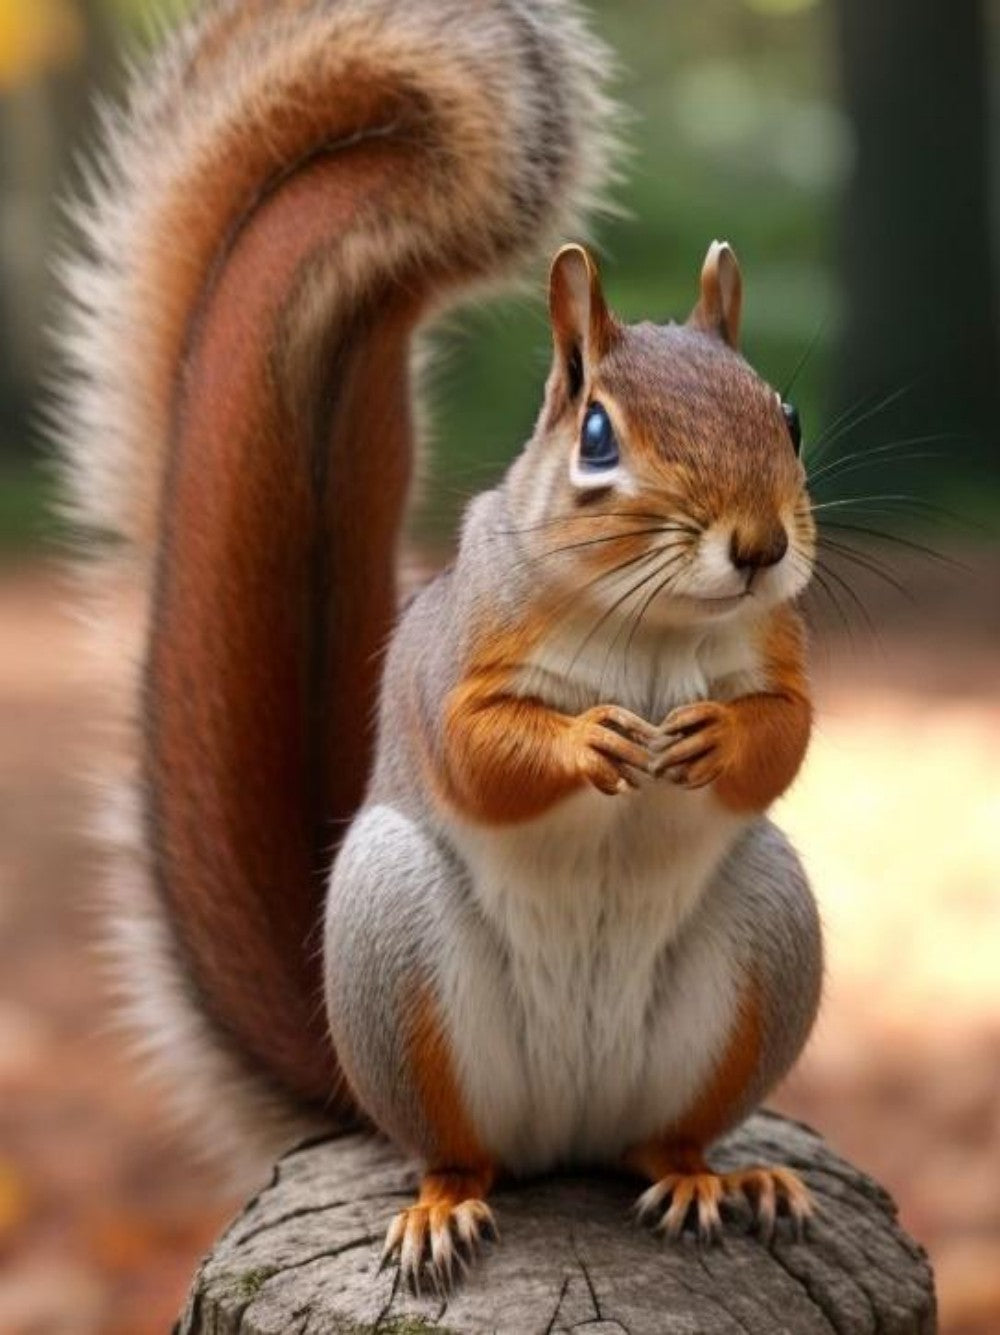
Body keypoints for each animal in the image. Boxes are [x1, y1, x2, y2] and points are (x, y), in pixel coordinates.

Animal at [58, 0, 822, 1293]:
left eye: (788, 417)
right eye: (598, 435)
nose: (762, 547)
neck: (652, 626)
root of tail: (566, 1132)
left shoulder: (777, 648)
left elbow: (789, 731)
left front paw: (715, 738)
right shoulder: (452, 657)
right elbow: (476, 752)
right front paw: (589, 743)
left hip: (765, 940)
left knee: (664, 1137)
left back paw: (716, 1179)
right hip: (392, 948)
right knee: (455, 1149)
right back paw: (441, 1209)